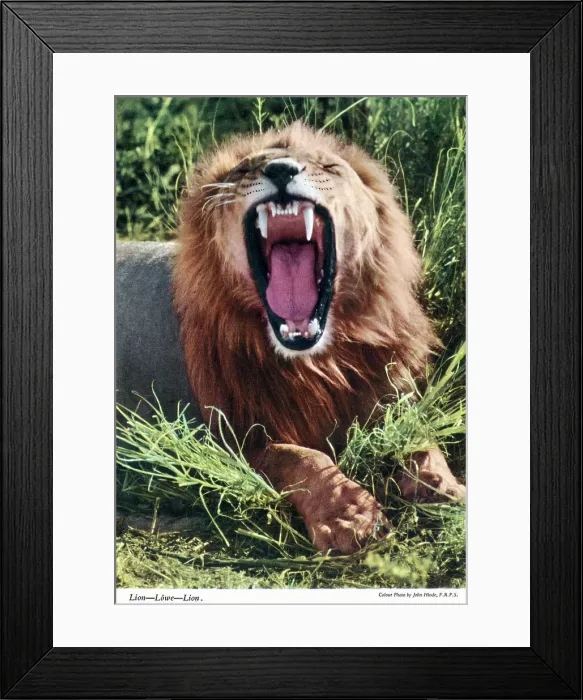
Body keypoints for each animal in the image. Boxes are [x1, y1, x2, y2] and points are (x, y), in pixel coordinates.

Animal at [116, 121, 465, 554]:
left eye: (329, 167)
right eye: (244, 169)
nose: (281, 169)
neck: (322, 360)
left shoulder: (392, 395)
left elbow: (421, 437)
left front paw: (444, 487)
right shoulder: (230, 437)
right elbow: (300, 457)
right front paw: (351, 517)